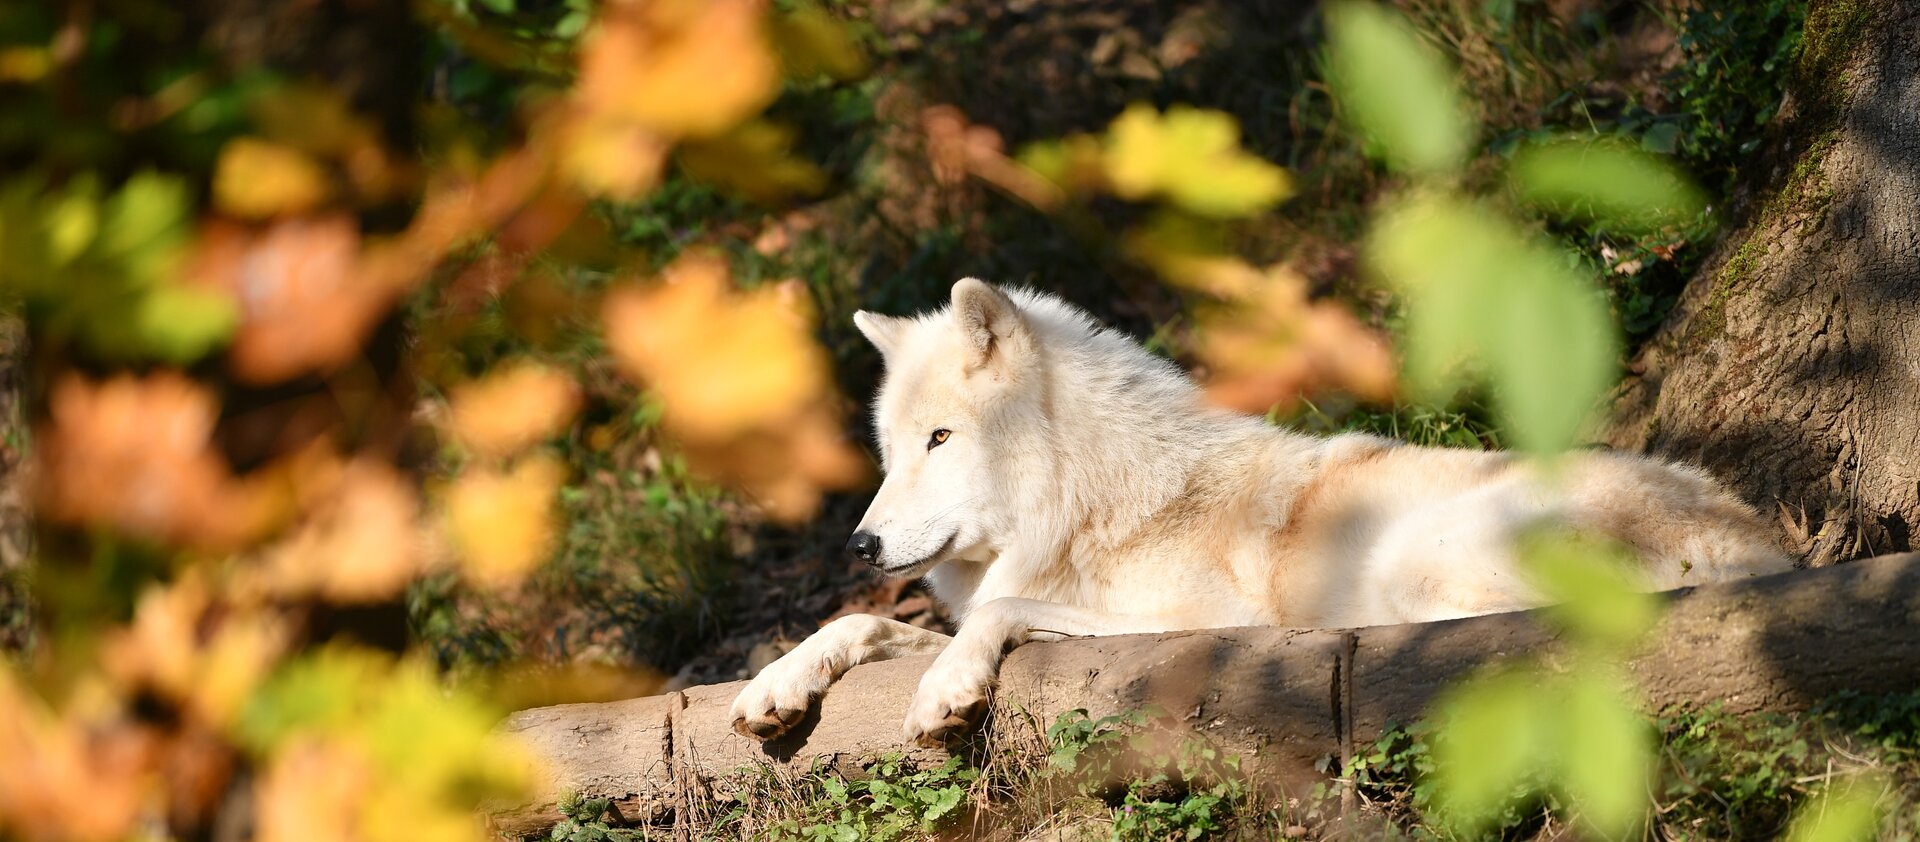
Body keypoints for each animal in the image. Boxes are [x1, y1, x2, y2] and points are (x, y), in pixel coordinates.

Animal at [725, 280, 1789, 748]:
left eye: (941, 439)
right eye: (891, 450)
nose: (860, 542)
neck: (1088, 497)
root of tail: (1760, 543)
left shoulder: (1197, 619)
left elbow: (995, 613)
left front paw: (946, 690)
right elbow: (858, 622)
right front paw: (776, 683)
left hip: (1418, 556)